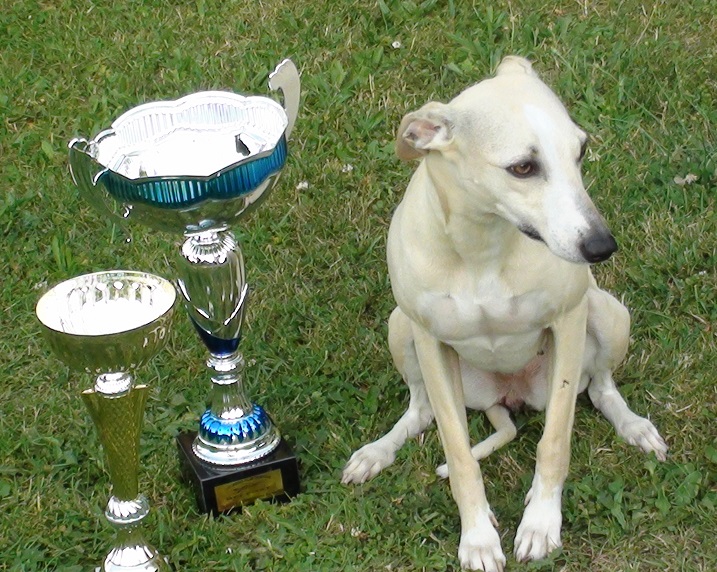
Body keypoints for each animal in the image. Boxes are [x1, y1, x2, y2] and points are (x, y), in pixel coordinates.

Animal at [342, 57, 664, 572]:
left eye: (582, 151)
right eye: (523, 167)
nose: (601, 247)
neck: (483, 244)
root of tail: (507, 396)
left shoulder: (568, 321)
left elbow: (555, 441)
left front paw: (540, 522)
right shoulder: (430, 340)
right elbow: (458, 455)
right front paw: (477, 537)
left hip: (607, 315)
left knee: (599, 388)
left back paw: (632, 427)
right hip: (401, 329)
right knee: (421, 410)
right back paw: (378, 451)